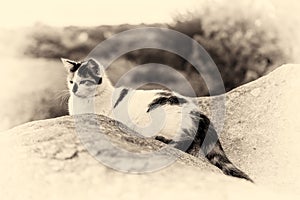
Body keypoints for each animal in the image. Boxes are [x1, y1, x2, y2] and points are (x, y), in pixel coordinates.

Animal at [61, 57, 253, 182]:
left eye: (83, 81)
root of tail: (200, 113)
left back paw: (160, 139)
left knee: (186, 143)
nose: (74, 90)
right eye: (71, 82)